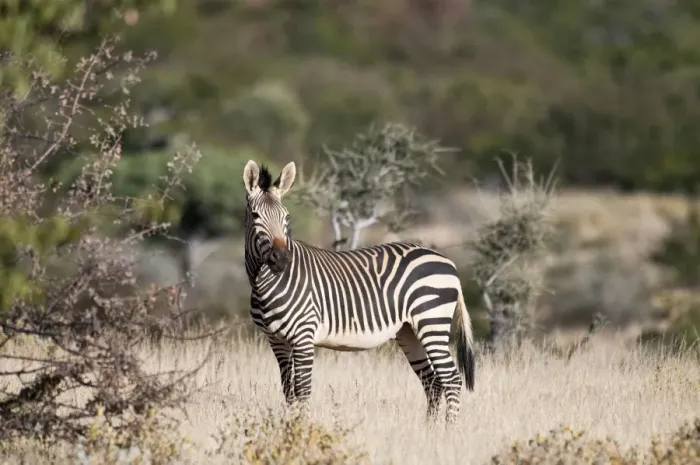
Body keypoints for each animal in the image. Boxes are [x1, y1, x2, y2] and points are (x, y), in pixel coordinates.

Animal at [242, 159, 475, 423]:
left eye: (286, 217)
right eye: (255, 215)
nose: (282, 259)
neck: (264, 282)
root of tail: (447, 261)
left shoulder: (303, 335)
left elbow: (302, 389)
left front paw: (301, 427)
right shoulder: (277, 341)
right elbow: (288, 390)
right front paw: (290, 425)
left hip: (431, 321)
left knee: (451, 378)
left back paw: (448, 428)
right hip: (409, 331)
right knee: (432, 381)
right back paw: (429, 428)